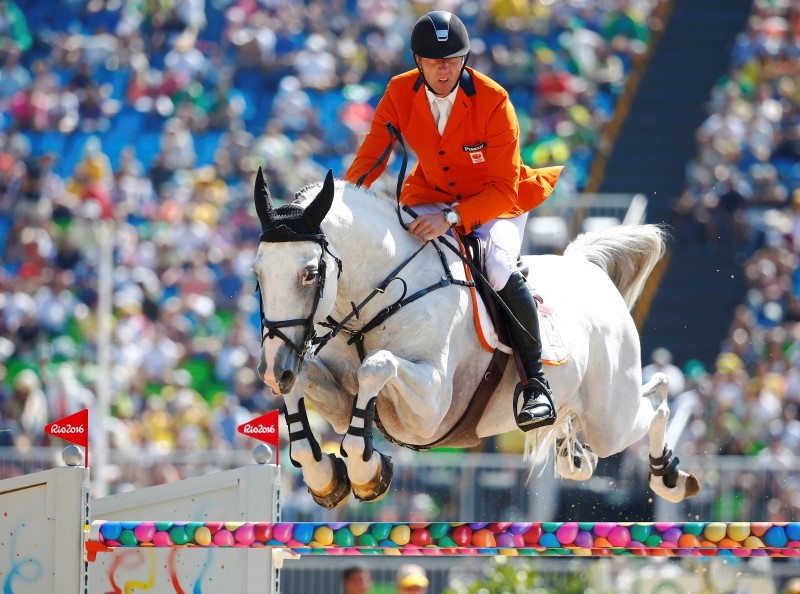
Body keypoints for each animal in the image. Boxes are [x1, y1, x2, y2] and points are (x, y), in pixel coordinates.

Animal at [253, 168, 696, 508]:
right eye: (257, 272)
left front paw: (365, 470)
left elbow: (375, 366)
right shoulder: (340, 399)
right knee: (591, 442)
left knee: (655, 400)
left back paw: (669, 476)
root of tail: (587, 268)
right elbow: (305, 386)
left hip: (611, 416)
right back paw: (576, 456)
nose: (273, 369)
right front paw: (324, 473)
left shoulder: (430, 410)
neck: (381, 295)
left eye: (310, 273)